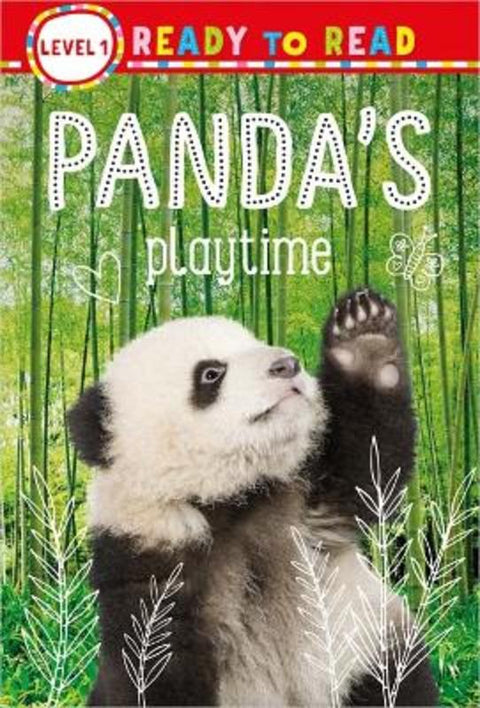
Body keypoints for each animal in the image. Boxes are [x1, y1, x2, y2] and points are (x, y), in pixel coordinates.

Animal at [68, 288, 438, 707]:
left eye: (255, 343)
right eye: (211, 373)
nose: (286, 364)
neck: (234, 496)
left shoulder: (305, 495)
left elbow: (369, 469)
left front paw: (364, 337)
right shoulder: (148, 556)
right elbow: (153, 661)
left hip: (366, 648)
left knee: (394, 681)